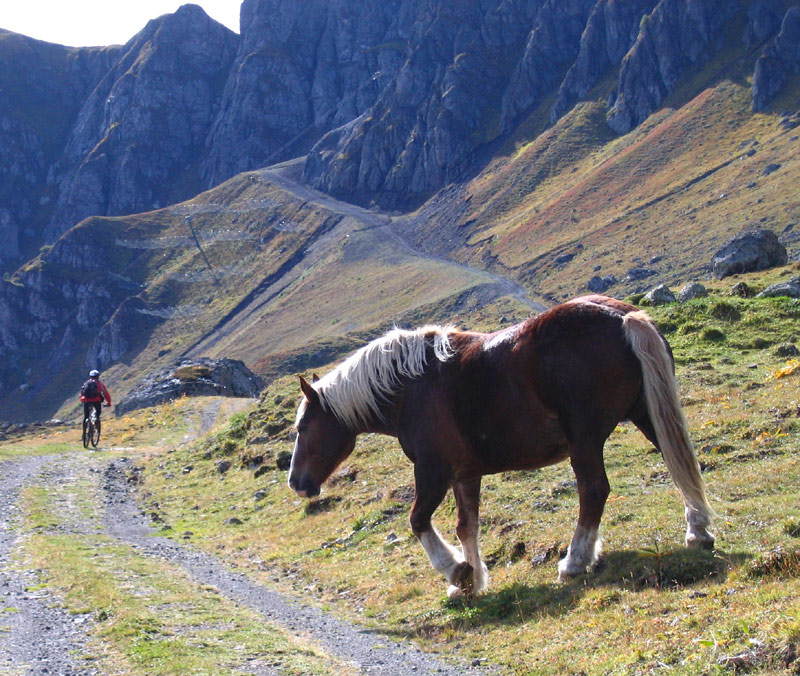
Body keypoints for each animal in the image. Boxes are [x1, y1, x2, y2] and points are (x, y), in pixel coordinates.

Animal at [288, 294, 712, 596]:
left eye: (303, 426)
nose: (296, 482)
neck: (410, 387)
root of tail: (623, 317)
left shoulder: (432, 470)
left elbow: (418, 520)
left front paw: (457, 572)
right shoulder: (464, 474)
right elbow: (466, 526)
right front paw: (472, 581)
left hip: (586, 440)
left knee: (594, 491)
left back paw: (574, 562)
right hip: (647, 415)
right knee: (679, 463)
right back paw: (698, 532)